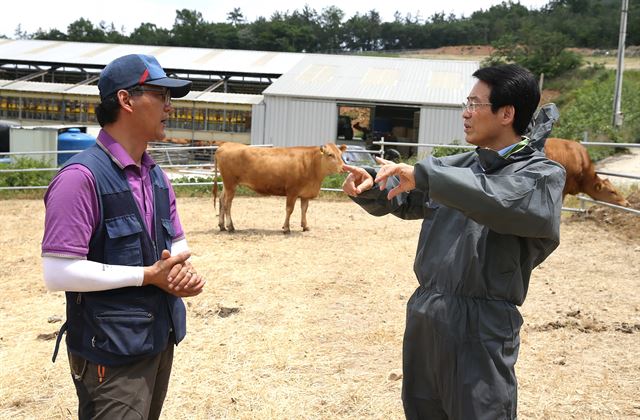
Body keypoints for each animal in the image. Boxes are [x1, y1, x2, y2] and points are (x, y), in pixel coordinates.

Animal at [214, 142, 344, 233]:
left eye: (340, 154)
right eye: (330, 154)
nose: (343, 167)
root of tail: (226, 144)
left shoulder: (305, 193)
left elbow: (304, 209)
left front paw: (305, 226)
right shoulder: (292, 191)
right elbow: (289, 209)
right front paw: (286, 228)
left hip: (226, 184)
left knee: (221, 200)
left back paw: (222, 226)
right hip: (230, 184)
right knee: (227, 204)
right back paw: (230, 227)